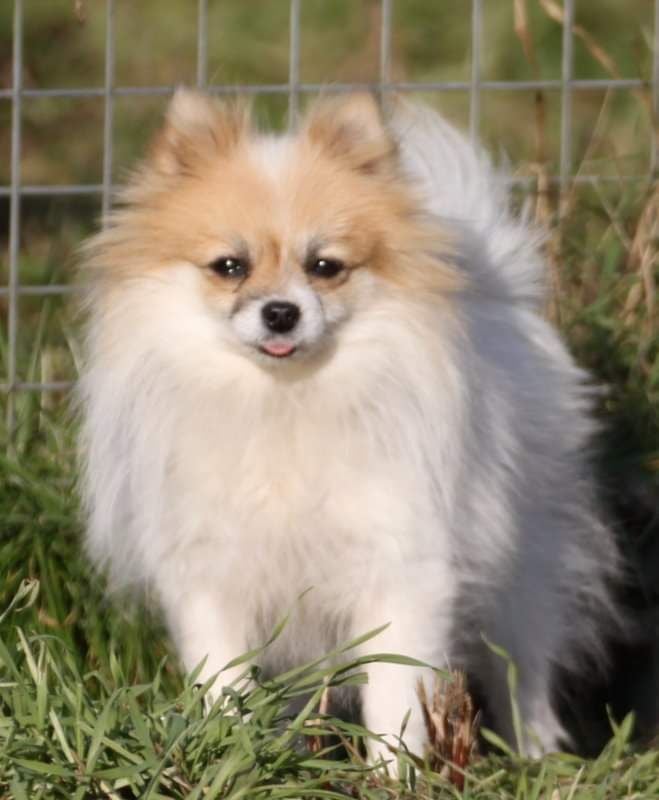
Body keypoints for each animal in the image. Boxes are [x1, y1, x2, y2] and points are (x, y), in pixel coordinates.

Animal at [80, 90, 620, 760]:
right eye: (229, 266)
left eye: (325, 266)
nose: (280, 312)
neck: (284, 402)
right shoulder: (213, 574)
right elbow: (224, 680)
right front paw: (233, 755)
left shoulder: (399, 566)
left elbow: (394, 695)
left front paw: (394, 771)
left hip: (526, 558)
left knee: (525, 657)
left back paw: (536, 751)